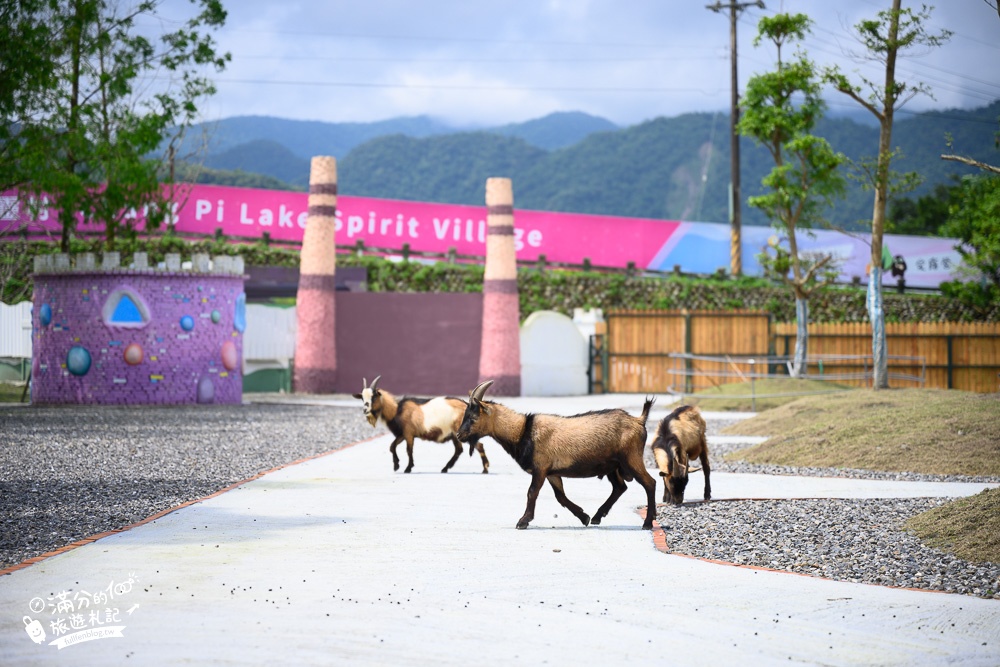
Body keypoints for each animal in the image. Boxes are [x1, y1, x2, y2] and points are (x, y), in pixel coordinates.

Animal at [354, 376, 490, 474]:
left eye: (374, 396)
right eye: (362, 398)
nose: (365, 410)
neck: (397, 410)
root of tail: (469, 406)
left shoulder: (408, 433)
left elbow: (409, 450)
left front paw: (408, 468)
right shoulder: (402, 434)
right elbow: (392, 446)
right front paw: (396, 465)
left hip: (462, 432)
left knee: (478, 446)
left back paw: (485, 468)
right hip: (456, 434)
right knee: (459, 449)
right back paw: (445, 468)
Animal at [454, 380, 656, 532]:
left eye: (472, 417)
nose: (459, 435)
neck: (523, 430)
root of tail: (639, 420)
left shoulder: (540, 468)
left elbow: (532, 492)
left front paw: (523, 521)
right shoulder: (552, 472)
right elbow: (561, 496)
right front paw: (584, 517)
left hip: (631, 458)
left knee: (649, 483)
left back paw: (647, 522)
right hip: (613, 465)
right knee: (620, 487)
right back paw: (598, 516)